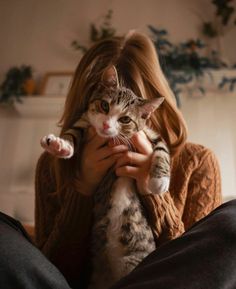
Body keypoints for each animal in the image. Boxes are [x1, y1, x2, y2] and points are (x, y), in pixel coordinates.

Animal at [40, 66, 170, 288]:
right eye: (104, 105)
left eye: (125, 119)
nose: (107, 126)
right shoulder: (85, 121)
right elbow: (73, 132)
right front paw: (60, 145)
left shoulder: (148, 133)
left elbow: (162, 150)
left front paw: (159, 181)